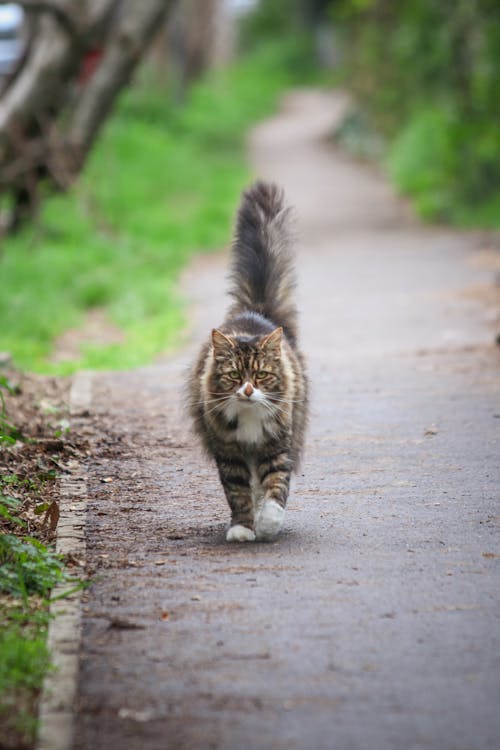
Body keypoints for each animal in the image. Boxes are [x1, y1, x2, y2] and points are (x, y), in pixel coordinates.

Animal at [187, 182, 306, 548]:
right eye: (235, 375)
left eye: (263, 375)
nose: (249, 390)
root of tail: (255, 313)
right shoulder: (229, 452)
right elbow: (238, 493)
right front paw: (242, 528)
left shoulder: (277, 446)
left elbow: (276, 488)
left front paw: (267, 524)